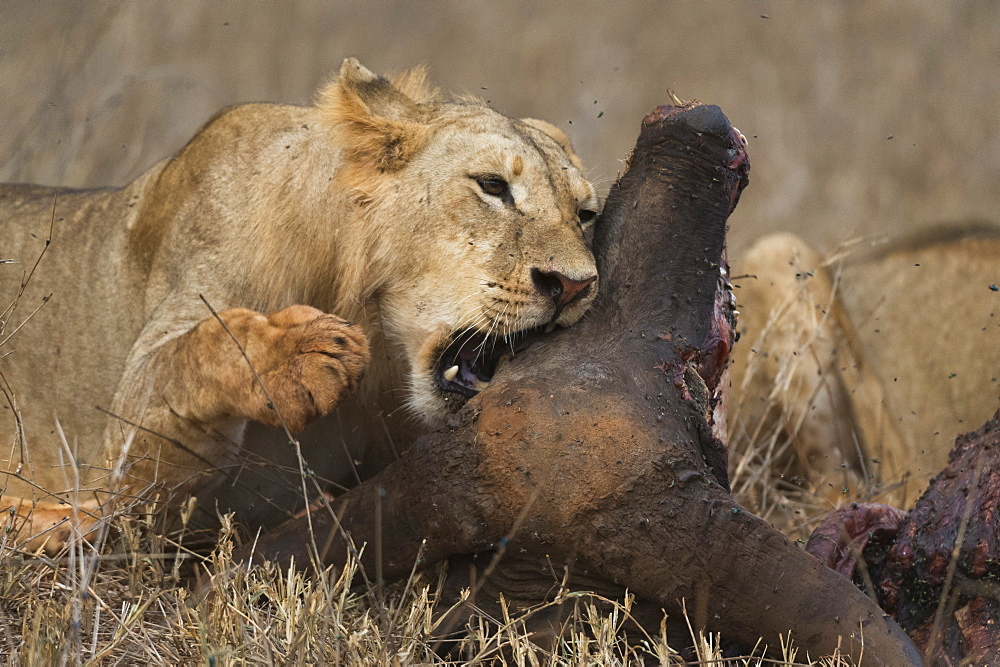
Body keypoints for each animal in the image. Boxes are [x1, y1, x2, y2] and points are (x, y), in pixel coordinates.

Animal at [0, 58, 596, 552]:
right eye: (493, 186)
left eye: (584, 213)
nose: (575, 286)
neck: (378, 326)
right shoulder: (131, 478)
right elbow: (198, 347)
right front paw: (298, 355)